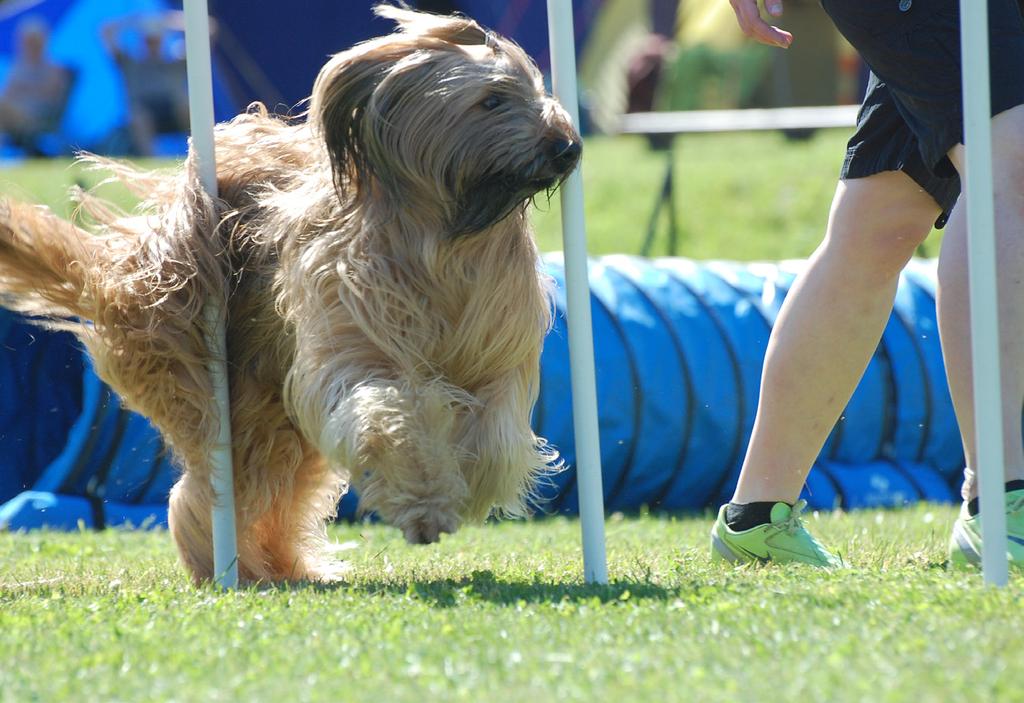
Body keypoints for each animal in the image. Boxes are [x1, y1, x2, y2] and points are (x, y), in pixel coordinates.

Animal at [0, 6, 581, 581]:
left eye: (538, 90)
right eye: (492, 100)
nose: (569, 147)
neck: (444, 238)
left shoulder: (496, 353)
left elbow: (495, 439)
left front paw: (467, 483)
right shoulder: (355, 344)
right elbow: (388, 416)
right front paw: (425, 503)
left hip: (277, 416)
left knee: (275, 490)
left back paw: (287, 566)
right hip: (204, 368)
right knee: (216, 485)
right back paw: (224, 566)